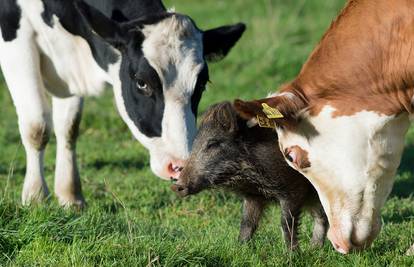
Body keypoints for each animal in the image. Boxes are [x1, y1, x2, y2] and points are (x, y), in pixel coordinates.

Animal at [0, 0, 246, 207]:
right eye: (141, 82)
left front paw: (70, 197)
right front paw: (36, 197)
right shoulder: (14, 34)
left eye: (202, 84)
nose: (180, 165)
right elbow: (37, 127)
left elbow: (68, 128)